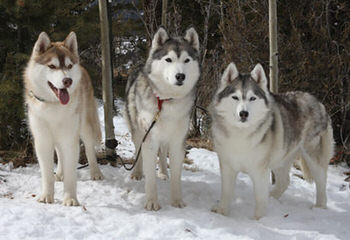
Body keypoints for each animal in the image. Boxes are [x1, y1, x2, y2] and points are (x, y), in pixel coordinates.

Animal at [24, 31, 103, 205]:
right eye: (52, 66)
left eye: (69, 66)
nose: (68, 81)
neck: (53, 106)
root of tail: (83, 68)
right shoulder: (43, 141)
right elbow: (47, 174)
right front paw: (47, 196)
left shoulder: (70, 139)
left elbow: (71, 175)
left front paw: (70, 199)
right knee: (59, 153)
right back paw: (59, 173)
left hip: (85, 127)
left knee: (89, 150)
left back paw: (96, 172)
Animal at [125, 26, 200, 210]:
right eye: (168, 59)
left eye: (186, 60)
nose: (180, 76)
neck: (167, 101)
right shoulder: (150, 139)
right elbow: (150, 178)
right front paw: (152, 202)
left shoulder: (177, 141)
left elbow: (176, 176)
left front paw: (177, 201)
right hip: (138, 131)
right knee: (138, 150)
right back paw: (137, 173)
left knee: (163, 152)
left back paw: (164, 173)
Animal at [211, 62, 334, 218]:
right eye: (235, 97)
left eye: (252, 98)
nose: (244, 113)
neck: (241, 134)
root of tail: (317, 101)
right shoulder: (227, 166)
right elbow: (226, 192)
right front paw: (222, 212)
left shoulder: (260, 171)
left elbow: (260, 198)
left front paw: (258, 219)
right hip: (281, 158)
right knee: (284, 182)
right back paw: (272, 197)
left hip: (312, 158)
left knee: (322, 181)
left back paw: (319, 207)